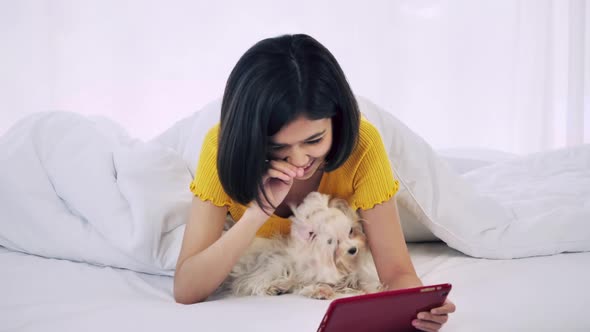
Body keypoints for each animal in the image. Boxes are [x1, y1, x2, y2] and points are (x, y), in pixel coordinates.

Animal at [223, 191, 384, 300]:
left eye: (351, 231)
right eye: (333, 242)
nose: (353, 249)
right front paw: (322, 291)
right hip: (274, 263)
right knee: (253, 283)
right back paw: (275, 288)